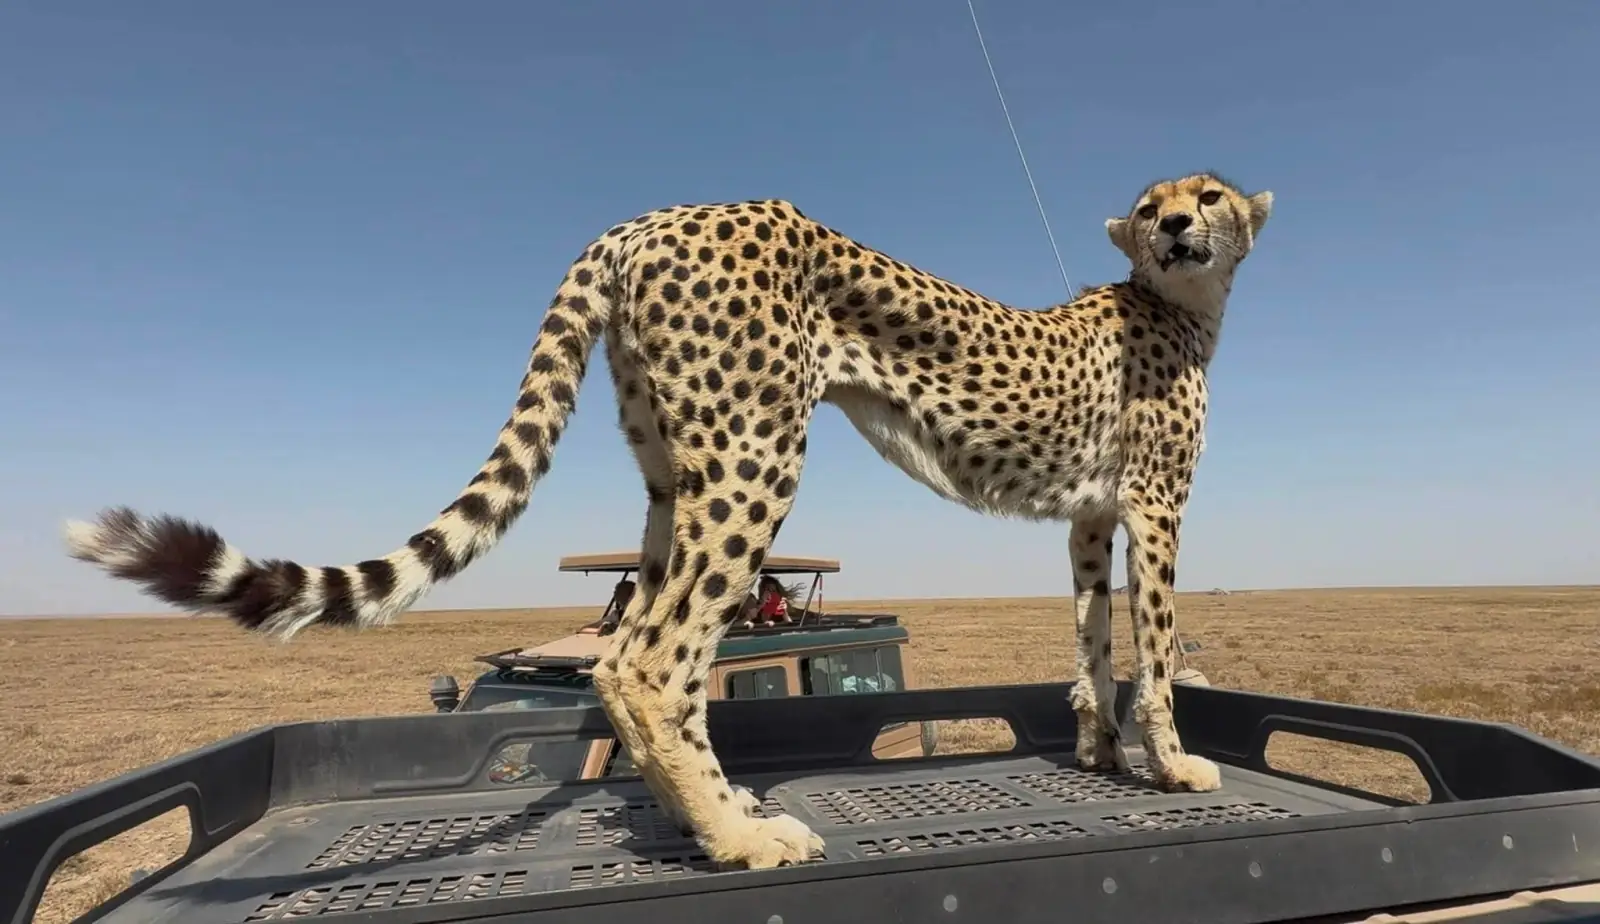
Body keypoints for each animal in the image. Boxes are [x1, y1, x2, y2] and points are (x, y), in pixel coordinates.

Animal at [63, 171, 1274, 871]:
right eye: (1160, 203)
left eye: (1209, 195)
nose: (1178, 224)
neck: (1177, 304)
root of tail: (647, 217)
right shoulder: (1157, 510)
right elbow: (1158, 651)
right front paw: (1174, 767)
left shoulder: (1092, 520)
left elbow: (1093, 639)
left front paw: (1101, 753)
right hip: (752, 458)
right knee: (655, 658)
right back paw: (739, 836)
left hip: (670, 476)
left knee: (623, 650)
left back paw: (705, 813)